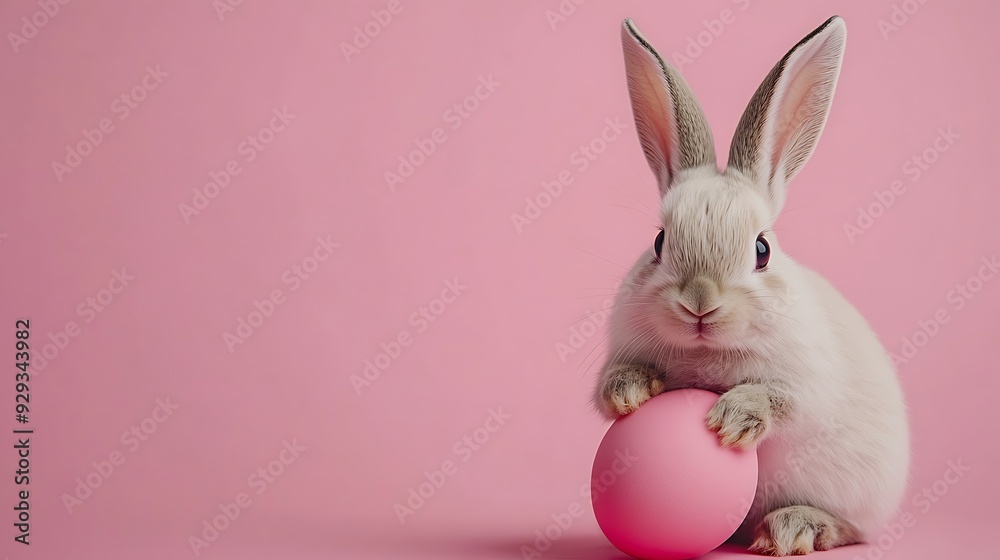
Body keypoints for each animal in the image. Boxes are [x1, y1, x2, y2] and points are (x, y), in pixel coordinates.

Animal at [592, 16, 910, 556]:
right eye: (658, 242)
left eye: (761, 250)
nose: (699, 303)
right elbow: (608, 385)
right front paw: (630, 393)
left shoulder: (806, 383)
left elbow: (785, 402)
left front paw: (733, 418)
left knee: (853, 528)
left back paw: (794, 527)